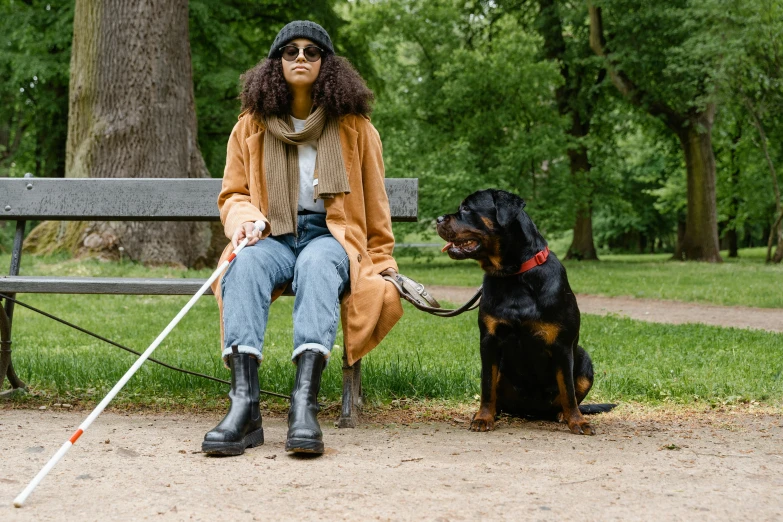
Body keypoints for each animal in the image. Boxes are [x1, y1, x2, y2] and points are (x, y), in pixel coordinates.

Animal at [438, 189, 616, 432]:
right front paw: (484, 417)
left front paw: (577, 421)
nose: (438, 219)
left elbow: (568, 390)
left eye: (466, 208)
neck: (514, 275)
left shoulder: (562, 344)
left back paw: (563, 414)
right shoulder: (489, 340)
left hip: (583, 358)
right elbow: (486, 385)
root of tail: (532, 412)